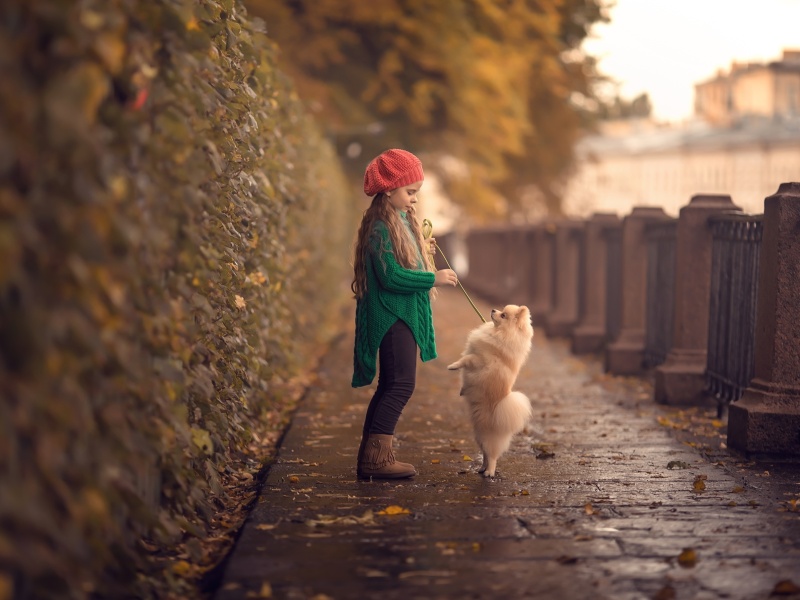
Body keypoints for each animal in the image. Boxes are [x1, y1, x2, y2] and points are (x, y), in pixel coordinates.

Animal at [446, 304, 536, 478]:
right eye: (501, 310)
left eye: (503, 315)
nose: (494, 310)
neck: (499, 333)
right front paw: (462, 389)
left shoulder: (479, 360)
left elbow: (465, 359)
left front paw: (453, 366)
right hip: (479, 435)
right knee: (486, 454)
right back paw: (482, 468)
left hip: (488, 437)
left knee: (492, 455)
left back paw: (489, 472)